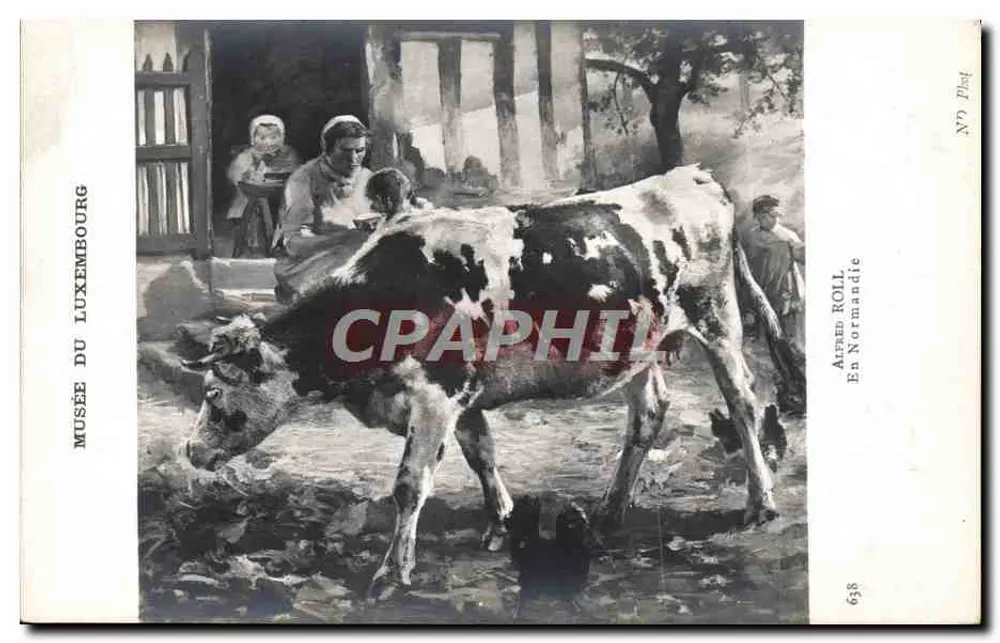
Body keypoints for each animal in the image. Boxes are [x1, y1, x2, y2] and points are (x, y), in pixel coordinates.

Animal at [182, 165, 802, 597]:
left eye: (214, 394)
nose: (190, 451)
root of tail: (693, 175)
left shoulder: (437, 395)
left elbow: (411, 484)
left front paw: (392, 572)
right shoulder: (464, 396)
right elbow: (481, 454)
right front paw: (502, 522)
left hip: (717, 320)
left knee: (744, 403)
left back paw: (760, 503)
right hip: (639, 345)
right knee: (649, 412)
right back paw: (611, 508)